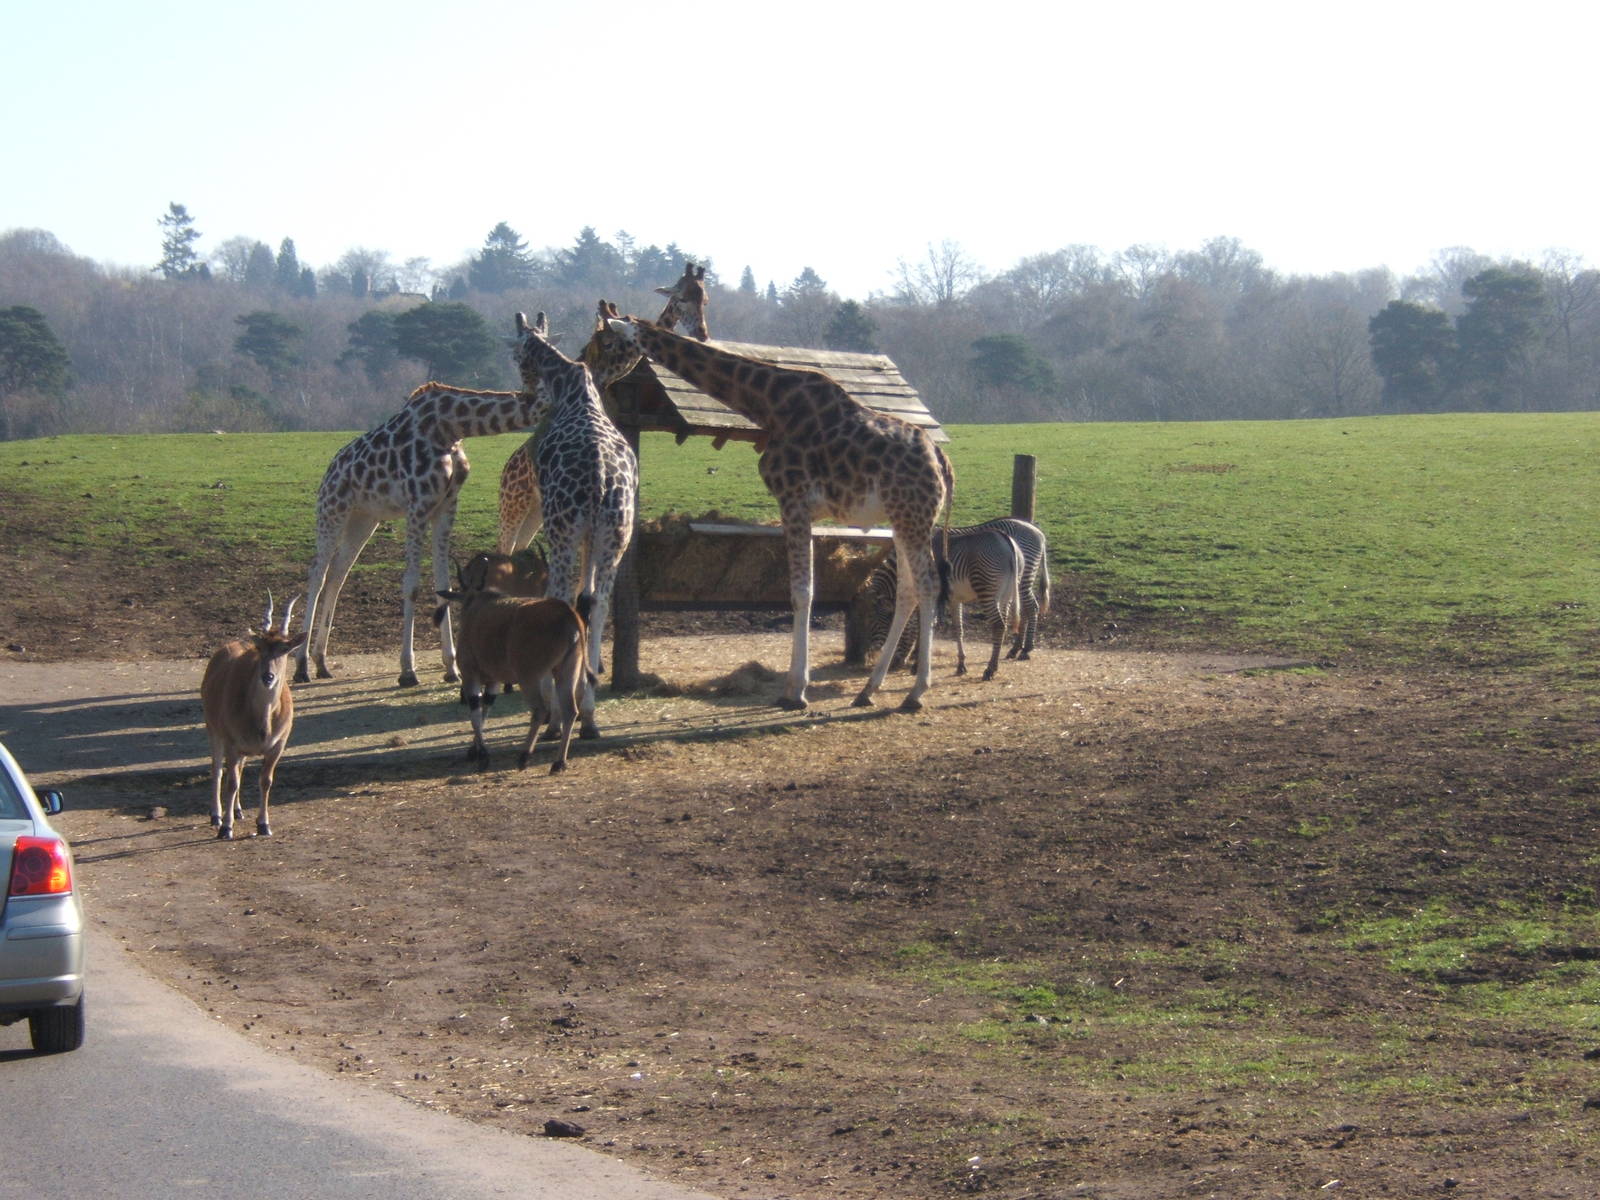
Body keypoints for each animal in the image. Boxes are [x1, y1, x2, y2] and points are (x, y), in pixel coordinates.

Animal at [295, 373, 546, 688]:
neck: (451, 427)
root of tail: (331, 468)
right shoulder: (418, 504)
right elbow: (412, 585)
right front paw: (407, 670)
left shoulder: (445, 506)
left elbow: (444, 584)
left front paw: (452, 668)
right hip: (332, 509)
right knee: (317, 572)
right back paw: (302, 666)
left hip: (364, 518)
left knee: (337, 574)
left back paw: (322, 662)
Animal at [496, 263, 708, 554]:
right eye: (681, 297)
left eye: (704, 298)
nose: (701, 332)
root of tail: (506, 468)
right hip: (513, 507)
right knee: (503, 549)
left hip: (535, 513)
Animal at [510, 310, 638, 738]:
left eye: (516, 353)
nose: (526, 393)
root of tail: (599, 480)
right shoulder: (593, 538)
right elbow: (591, 599)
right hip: (615, 536)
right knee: (597, 605)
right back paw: (590, 714)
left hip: (562, 531)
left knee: (563, 599)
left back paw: (555, 717)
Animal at [607, 315, 954, 712]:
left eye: (610, 343)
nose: (605, 382)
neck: (769, 403)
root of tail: (943, 464)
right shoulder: (801, 506)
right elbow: (805, 590)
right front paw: (796, 686)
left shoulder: (793, 500)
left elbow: (802, 592)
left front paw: (795, 691)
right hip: (902, 520)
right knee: (908, 591)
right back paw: (868, 689)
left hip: (913, 518)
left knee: (929, 584)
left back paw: (916, 692)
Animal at [859, 525, 1027, 681]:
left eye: (873, 619)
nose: (872, 651)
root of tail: (1007, 541)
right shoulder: (955, 599)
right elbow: (958, 629)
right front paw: (961, 665)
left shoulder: (926, 596)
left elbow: (921, 627)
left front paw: (916, 665)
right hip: (1006, 594)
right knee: (1003, 623)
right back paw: (995, 666)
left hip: (986, 589)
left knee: (998, 625)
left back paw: (990, 669)